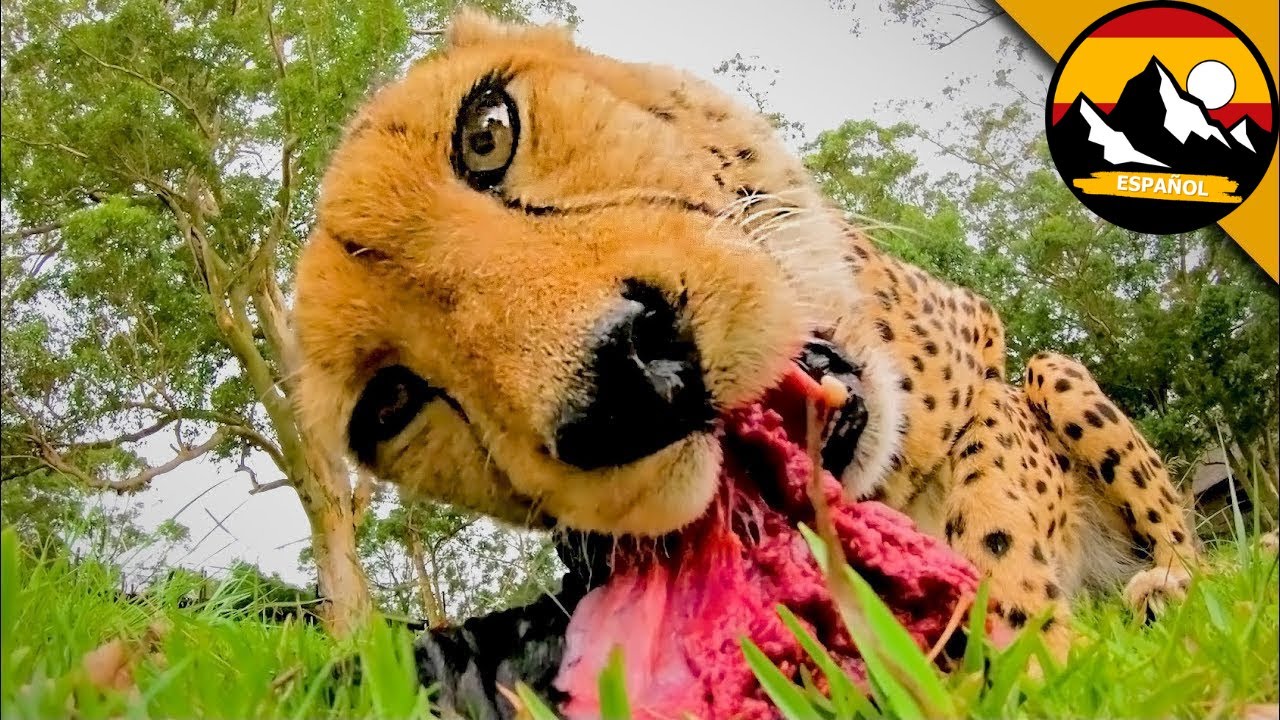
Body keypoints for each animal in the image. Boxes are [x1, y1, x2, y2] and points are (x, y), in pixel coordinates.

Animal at [288, 7, 1199, 704]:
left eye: (486, 132)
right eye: (391, 404)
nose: (628, 387)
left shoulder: (986, 353)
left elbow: (996, 508)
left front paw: (1014, 646)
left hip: (1057, 372)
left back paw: (1170, 587)